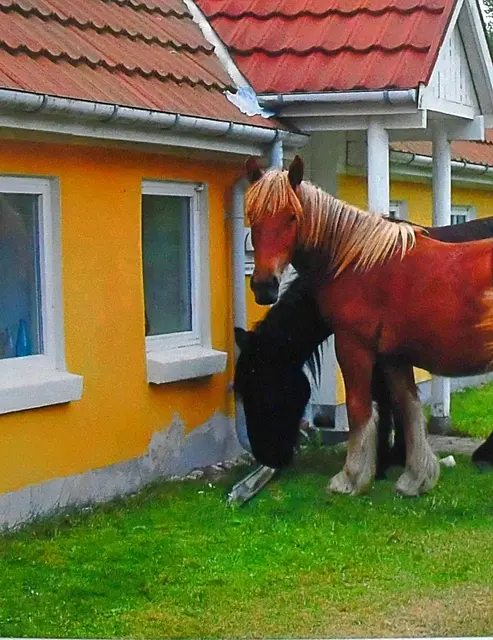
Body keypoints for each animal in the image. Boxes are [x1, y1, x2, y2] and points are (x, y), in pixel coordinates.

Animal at [244, 155, 493, 497]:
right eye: (251, 216)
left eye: (292, 216)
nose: (264, 286)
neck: (355, 261)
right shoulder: (394, 357)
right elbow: (407, 408)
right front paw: (415, 477)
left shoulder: (353, 346)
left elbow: (359, 408)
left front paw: (351, 477)